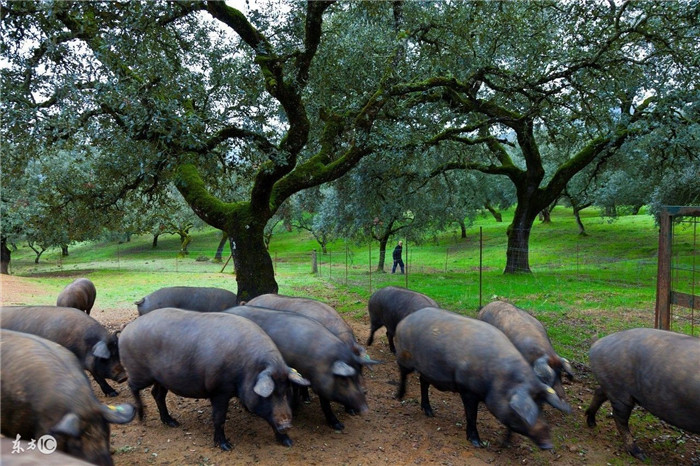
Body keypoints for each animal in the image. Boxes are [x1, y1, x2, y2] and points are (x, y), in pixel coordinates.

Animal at [119, 308, 308, 450]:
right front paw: (226, 446)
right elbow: (219, 418)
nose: (286, 425)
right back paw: (142, 418)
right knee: (132, 386)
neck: (247, 369)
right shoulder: (219, 390)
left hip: (162, 378)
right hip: (140, 372)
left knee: (156, 394)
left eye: (285, 392)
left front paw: (288, 442)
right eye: (270, 395)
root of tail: (127, 330)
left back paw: (172, 422)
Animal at [394, 308, 568, 450]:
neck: (498, 380)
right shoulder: (467, 391)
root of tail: (406, 319)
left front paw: (505, 443)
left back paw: (430, 413)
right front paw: (477, 443)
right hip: (404, 356)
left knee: (423, 383)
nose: (548, 445)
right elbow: (472, 416)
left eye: (541, 406)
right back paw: (399, 396)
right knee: (403, 373)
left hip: (427, 370)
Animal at [584, 330, 700, 460]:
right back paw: (640, 454)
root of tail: (597, 343)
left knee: (599, 392)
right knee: (619, 418)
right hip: (620, 392)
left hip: (611, 386)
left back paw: (592, 423)